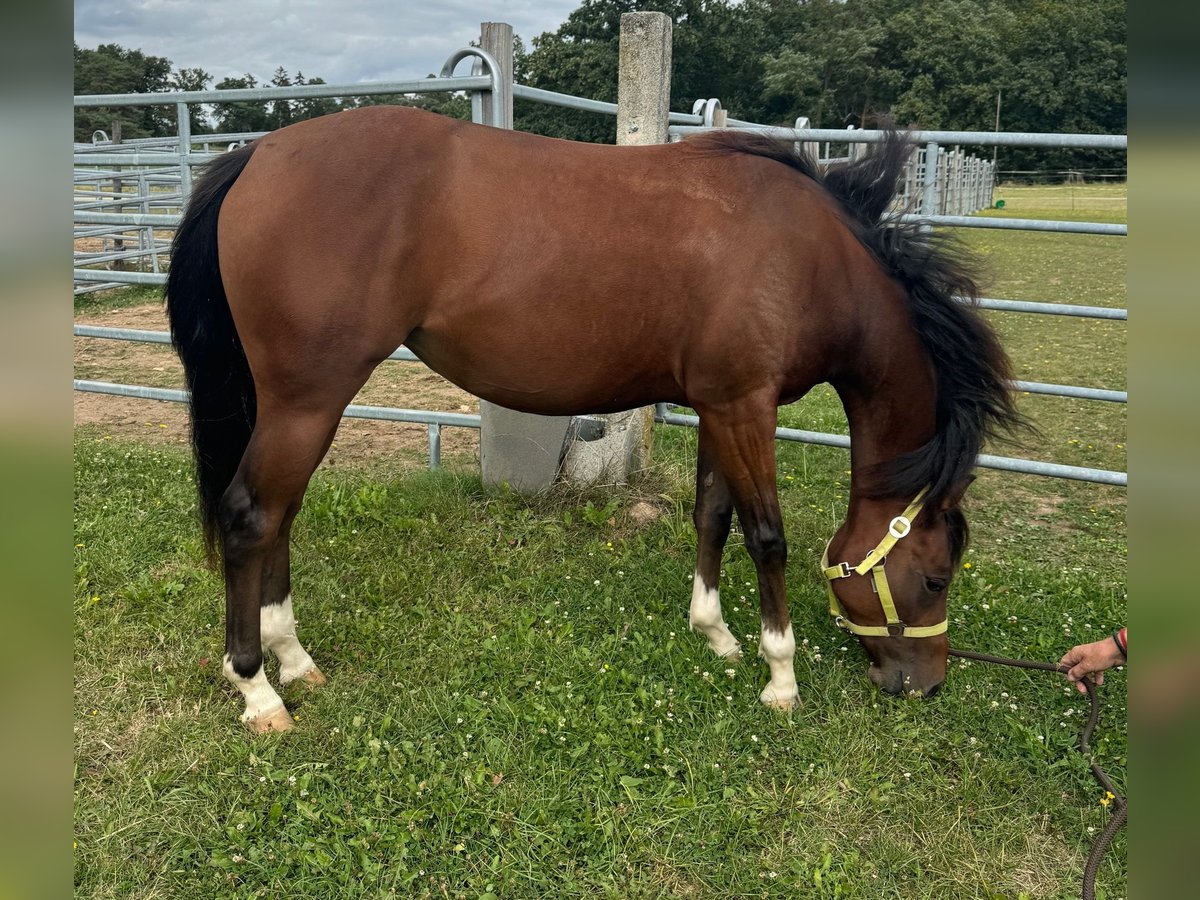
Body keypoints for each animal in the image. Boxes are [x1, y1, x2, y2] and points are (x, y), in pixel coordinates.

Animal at [164, 109, 1017, 734]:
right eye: (936, 577)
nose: (925, 684)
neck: (809, 257)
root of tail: (258, 155)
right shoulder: (746, 404)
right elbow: (766, 535)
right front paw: (781, 676)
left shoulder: (718, 404)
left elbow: (712, 514)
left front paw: (715, 634)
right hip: (307, 400)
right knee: (252, 517)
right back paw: (258, 690)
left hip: (299, 407)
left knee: (280, 517)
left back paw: (294, 659)